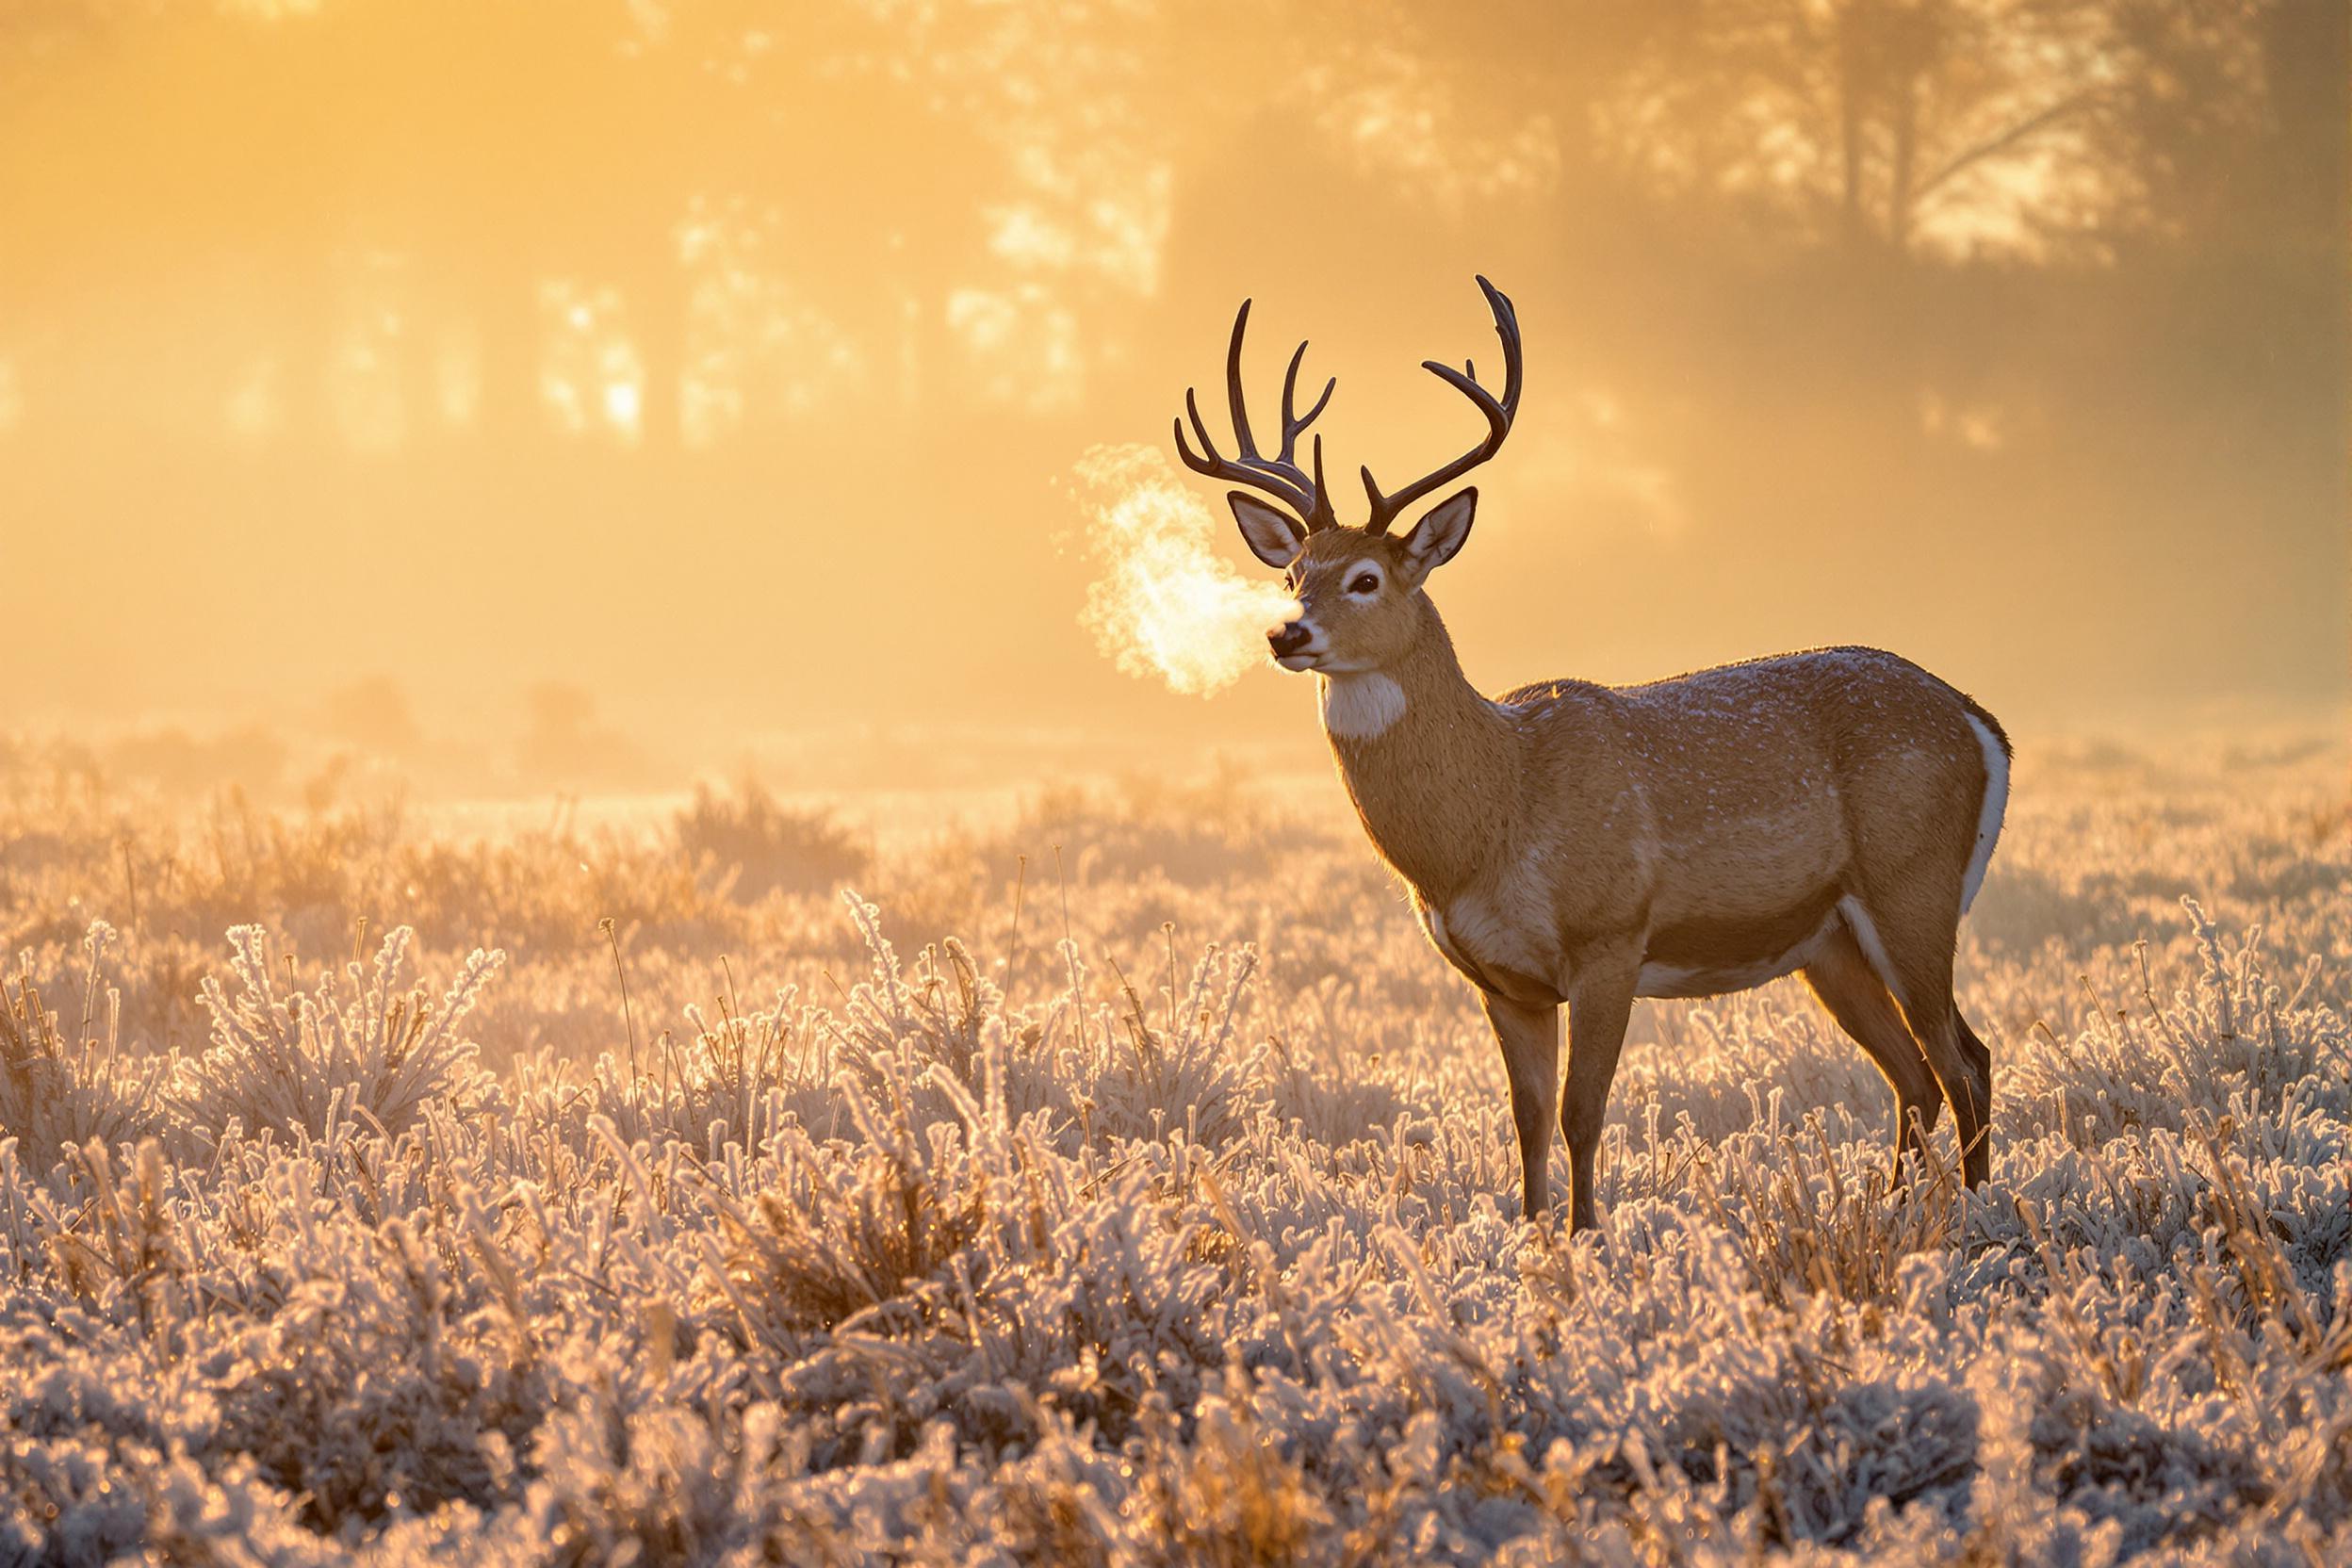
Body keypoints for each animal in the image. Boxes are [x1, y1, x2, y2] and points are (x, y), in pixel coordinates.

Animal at [1167, 282, 2013, 1241]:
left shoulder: (1611, 935)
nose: (1286, 634)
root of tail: (1981, 722)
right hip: (1827, 941)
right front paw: (1533, 1238)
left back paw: (1974, 1221)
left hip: (1914, 886)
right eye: (1293, 573)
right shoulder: (1505, 982)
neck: (1493, 819)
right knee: (1915, 1076)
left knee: (1965, 1060)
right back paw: (1889, 1214)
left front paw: (1587, 1239)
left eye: (1367, 579)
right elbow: (1528, 1117)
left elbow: (1582, 1111)